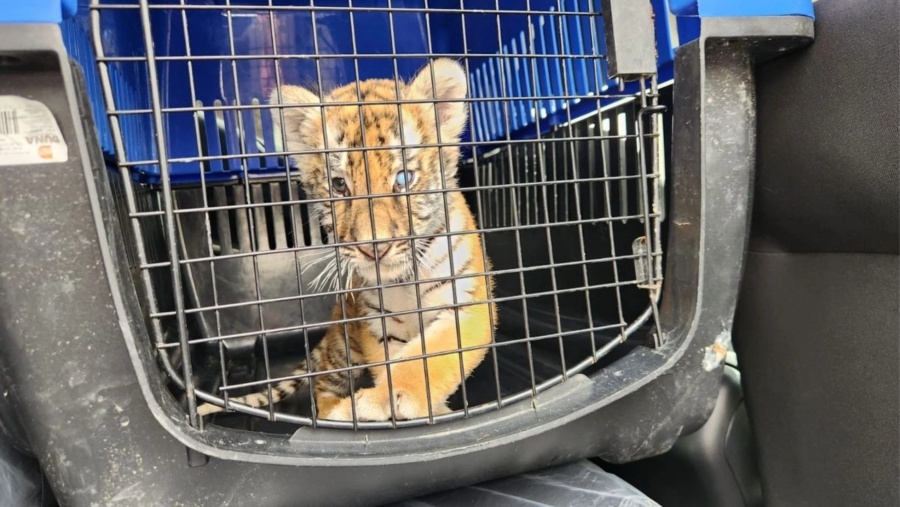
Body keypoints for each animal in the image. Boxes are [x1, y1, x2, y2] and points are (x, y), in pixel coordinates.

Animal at [197, 59, 496, 422]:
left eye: (403, 178)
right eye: (340, 185)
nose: (373, 248)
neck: (402, 281)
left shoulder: (466, 304)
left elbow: (427, 358)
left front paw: (400, 399)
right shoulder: (376, 324)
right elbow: (390, 364)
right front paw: (379, 403)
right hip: (343, 349)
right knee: (323, 385)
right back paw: (338, 413)